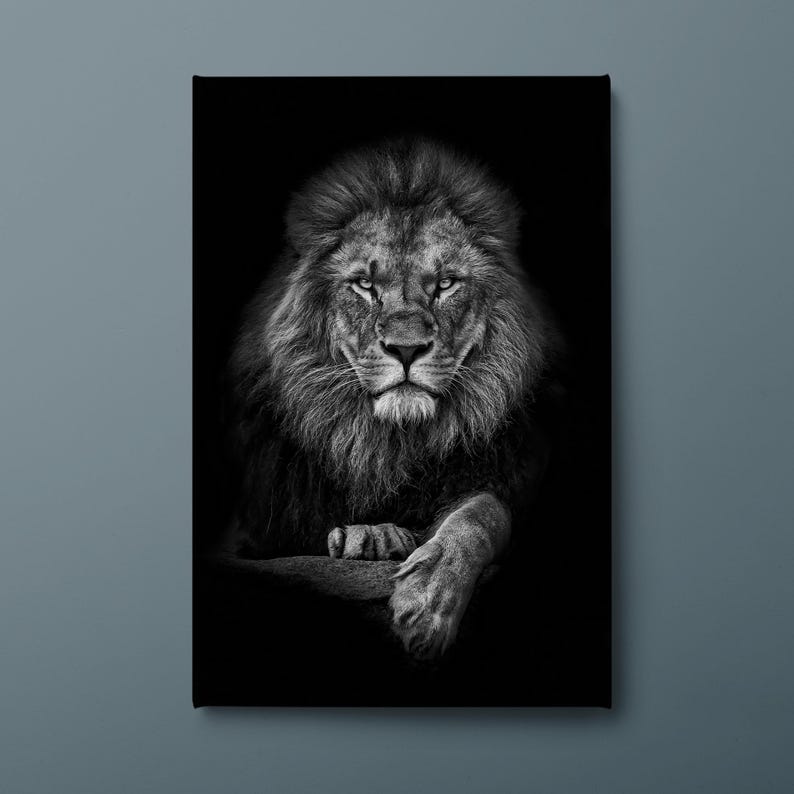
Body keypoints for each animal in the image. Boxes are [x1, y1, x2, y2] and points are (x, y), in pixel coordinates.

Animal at [223, 137, 562, 659]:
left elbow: (483, 513)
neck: (389, 444)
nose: (405, 348)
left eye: (445, 284)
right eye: (365, 285)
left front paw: (428, 602)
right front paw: (372, 535)